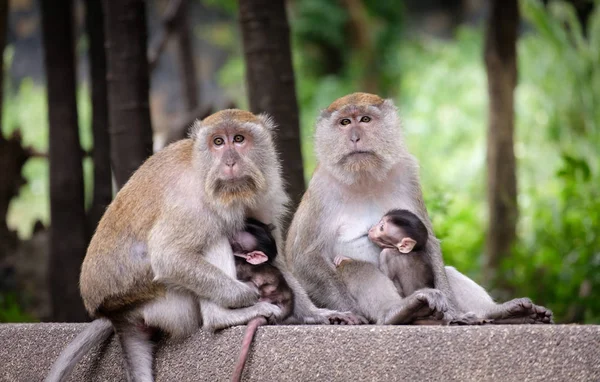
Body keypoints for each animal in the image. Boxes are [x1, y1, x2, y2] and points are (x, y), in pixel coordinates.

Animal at [286, 93, 552, 326]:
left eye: (365, 119)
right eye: (344, 122)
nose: (354, 138)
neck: (365, 177)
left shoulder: (407, 173)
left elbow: (429, 241)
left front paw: (455, 313)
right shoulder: (321, 188)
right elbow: (304, 257)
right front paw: (349, 312)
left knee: (445, 271)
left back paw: (501, 313)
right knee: (351, 266)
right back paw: (395, 312)